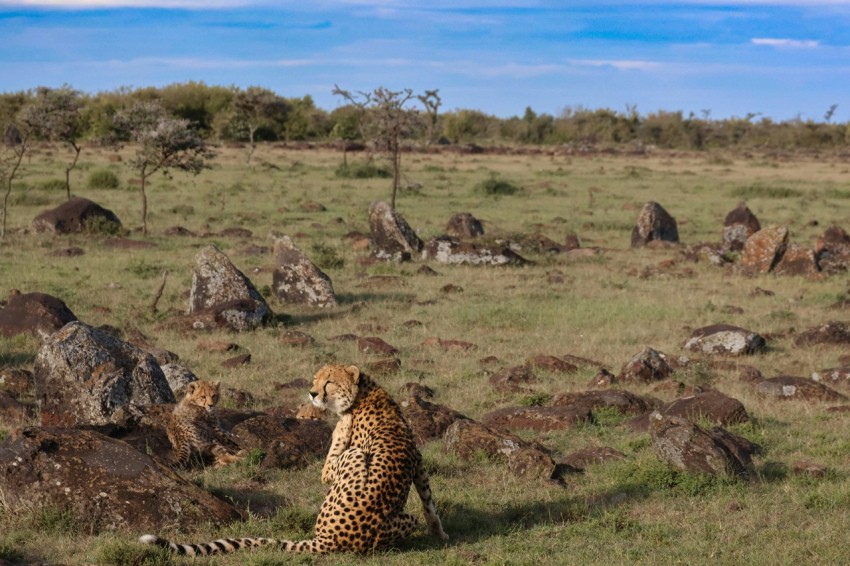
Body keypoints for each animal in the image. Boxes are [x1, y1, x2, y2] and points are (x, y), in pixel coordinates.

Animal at [140, 364, 448, 556]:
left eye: (329, 382)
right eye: (315, 379)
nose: (312, 393)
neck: (366, 391)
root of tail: (325, 542)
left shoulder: (337, 466)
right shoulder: (418, 460)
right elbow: (428, 498)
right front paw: (440, 534)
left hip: (359, 459)